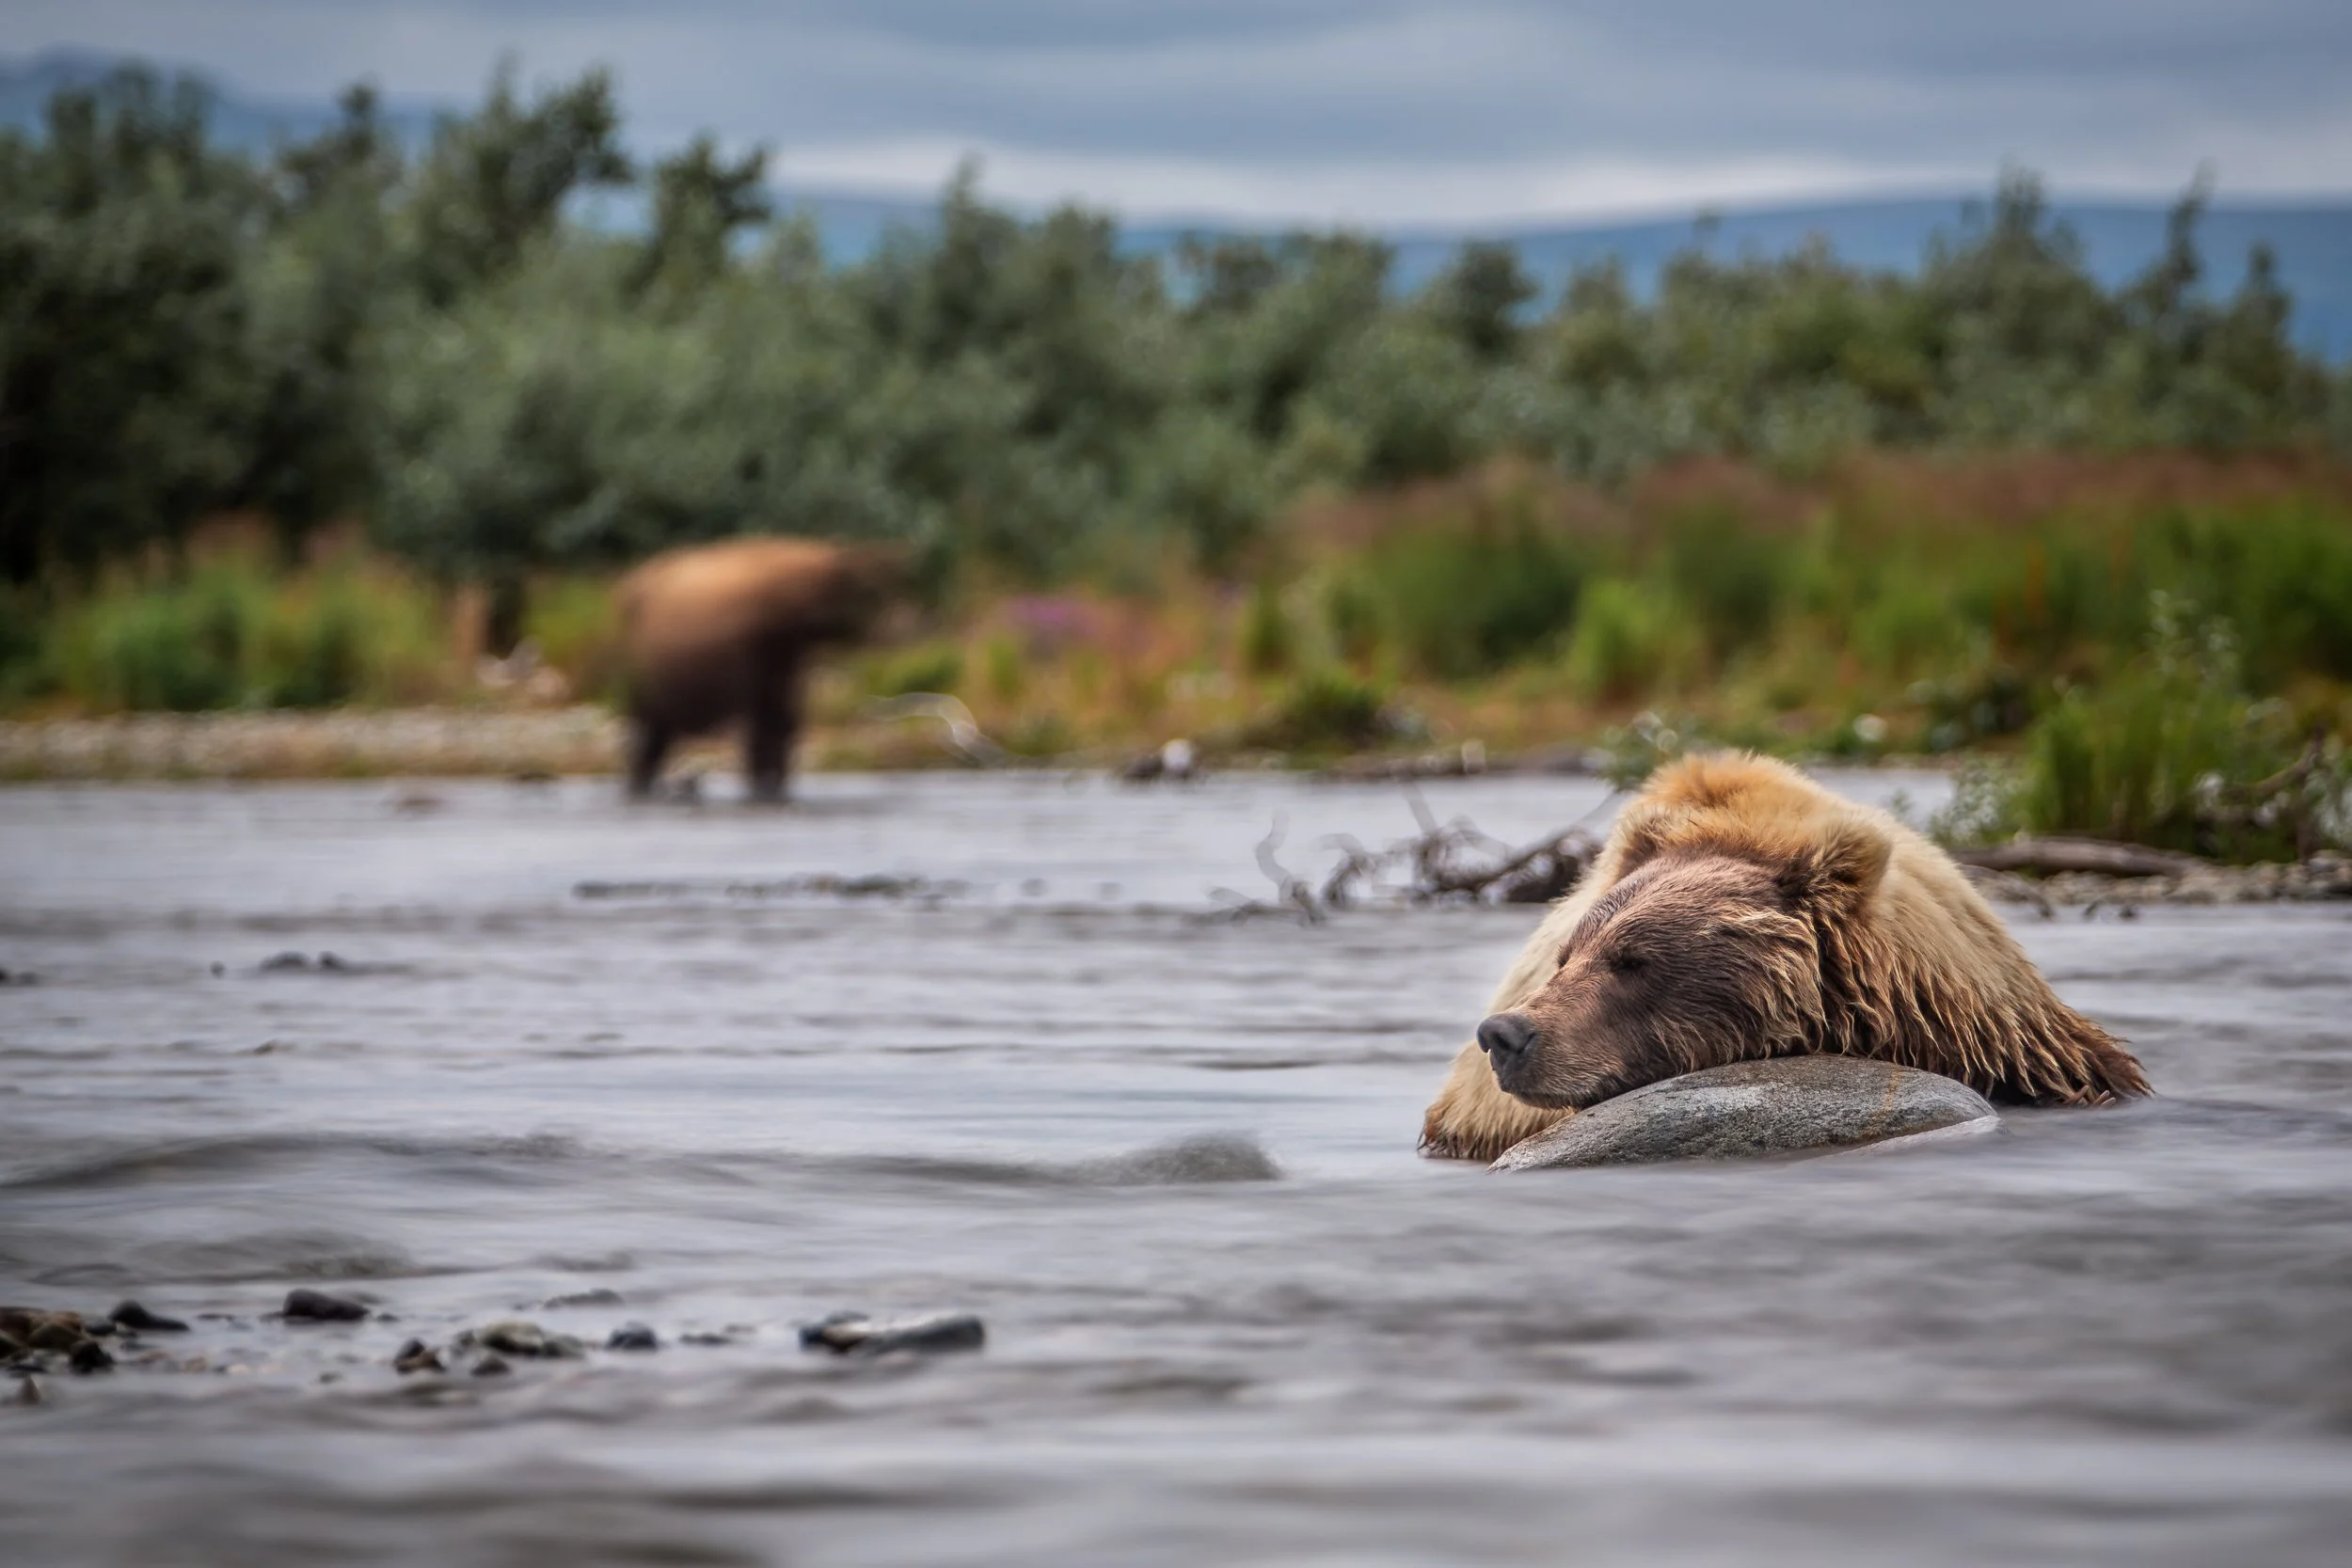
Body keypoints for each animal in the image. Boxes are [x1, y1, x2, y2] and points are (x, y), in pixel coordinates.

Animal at [615, 537, 900, 802]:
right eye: (867, 591)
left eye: (874, 588)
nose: (887, 626)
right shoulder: (750, 666)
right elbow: (760, 733)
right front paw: (763, 786)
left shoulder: (784, 668)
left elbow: (782, 725)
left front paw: (774, 784)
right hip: (646, 684)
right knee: (647, 736)